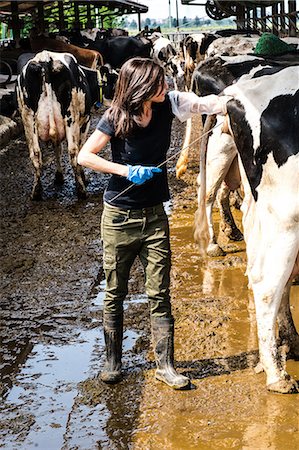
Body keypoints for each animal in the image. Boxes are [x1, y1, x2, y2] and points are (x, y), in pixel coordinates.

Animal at [16, 50, 98, 201]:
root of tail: (44, 57)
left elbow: (57, 148)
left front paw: (59, 176)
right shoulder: (85, 121)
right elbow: (80, 148)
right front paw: (83, 177)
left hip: (28, 118)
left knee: (35, 154)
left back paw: (36, 191)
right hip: (71, 116)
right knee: (73, 152)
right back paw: (81, 190)